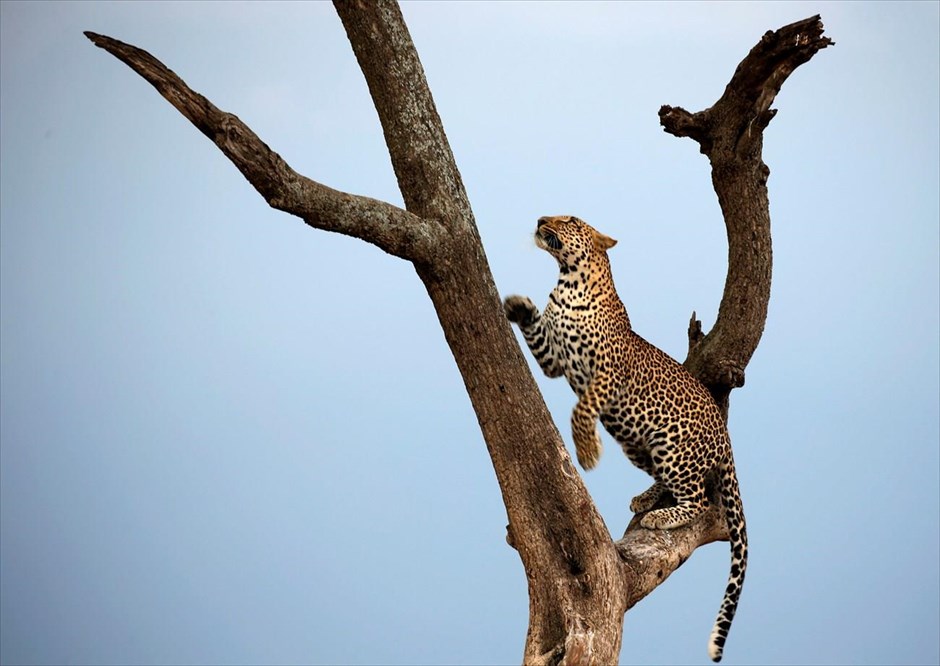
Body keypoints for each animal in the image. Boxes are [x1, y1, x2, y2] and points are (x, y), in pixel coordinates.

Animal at [506, 215, 748, 660]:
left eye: (569, 219)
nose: (541, 220)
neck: (567, 281)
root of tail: (725, 437)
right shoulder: (553, 360)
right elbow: (537, 333)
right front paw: (518, 305)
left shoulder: (605, 375)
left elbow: (581, 409)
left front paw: (586, 451)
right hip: (639, 445)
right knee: (671, 483)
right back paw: (647, 498)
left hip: (673, 446)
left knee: (700, 500)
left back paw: (661, 515)